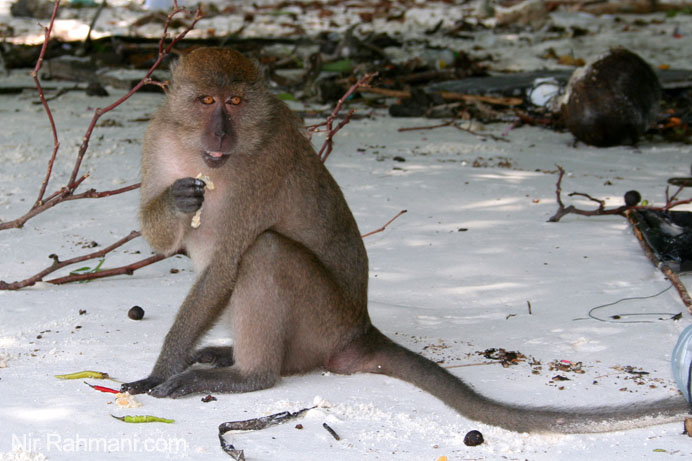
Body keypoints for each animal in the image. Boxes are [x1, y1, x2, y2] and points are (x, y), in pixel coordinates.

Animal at [122, 47, 688, 433]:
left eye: (235, 102)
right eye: (207, 101)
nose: (220, 133)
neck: (198, 150)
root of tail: (360, 330)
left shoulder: (260, 169)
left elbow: (225, 264)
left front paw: (161, 370)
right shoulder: (156, 136)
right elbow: (162, 241)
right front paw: (177, 201)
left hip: (321, 321)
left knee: (266, 251)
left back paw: (250, 375)